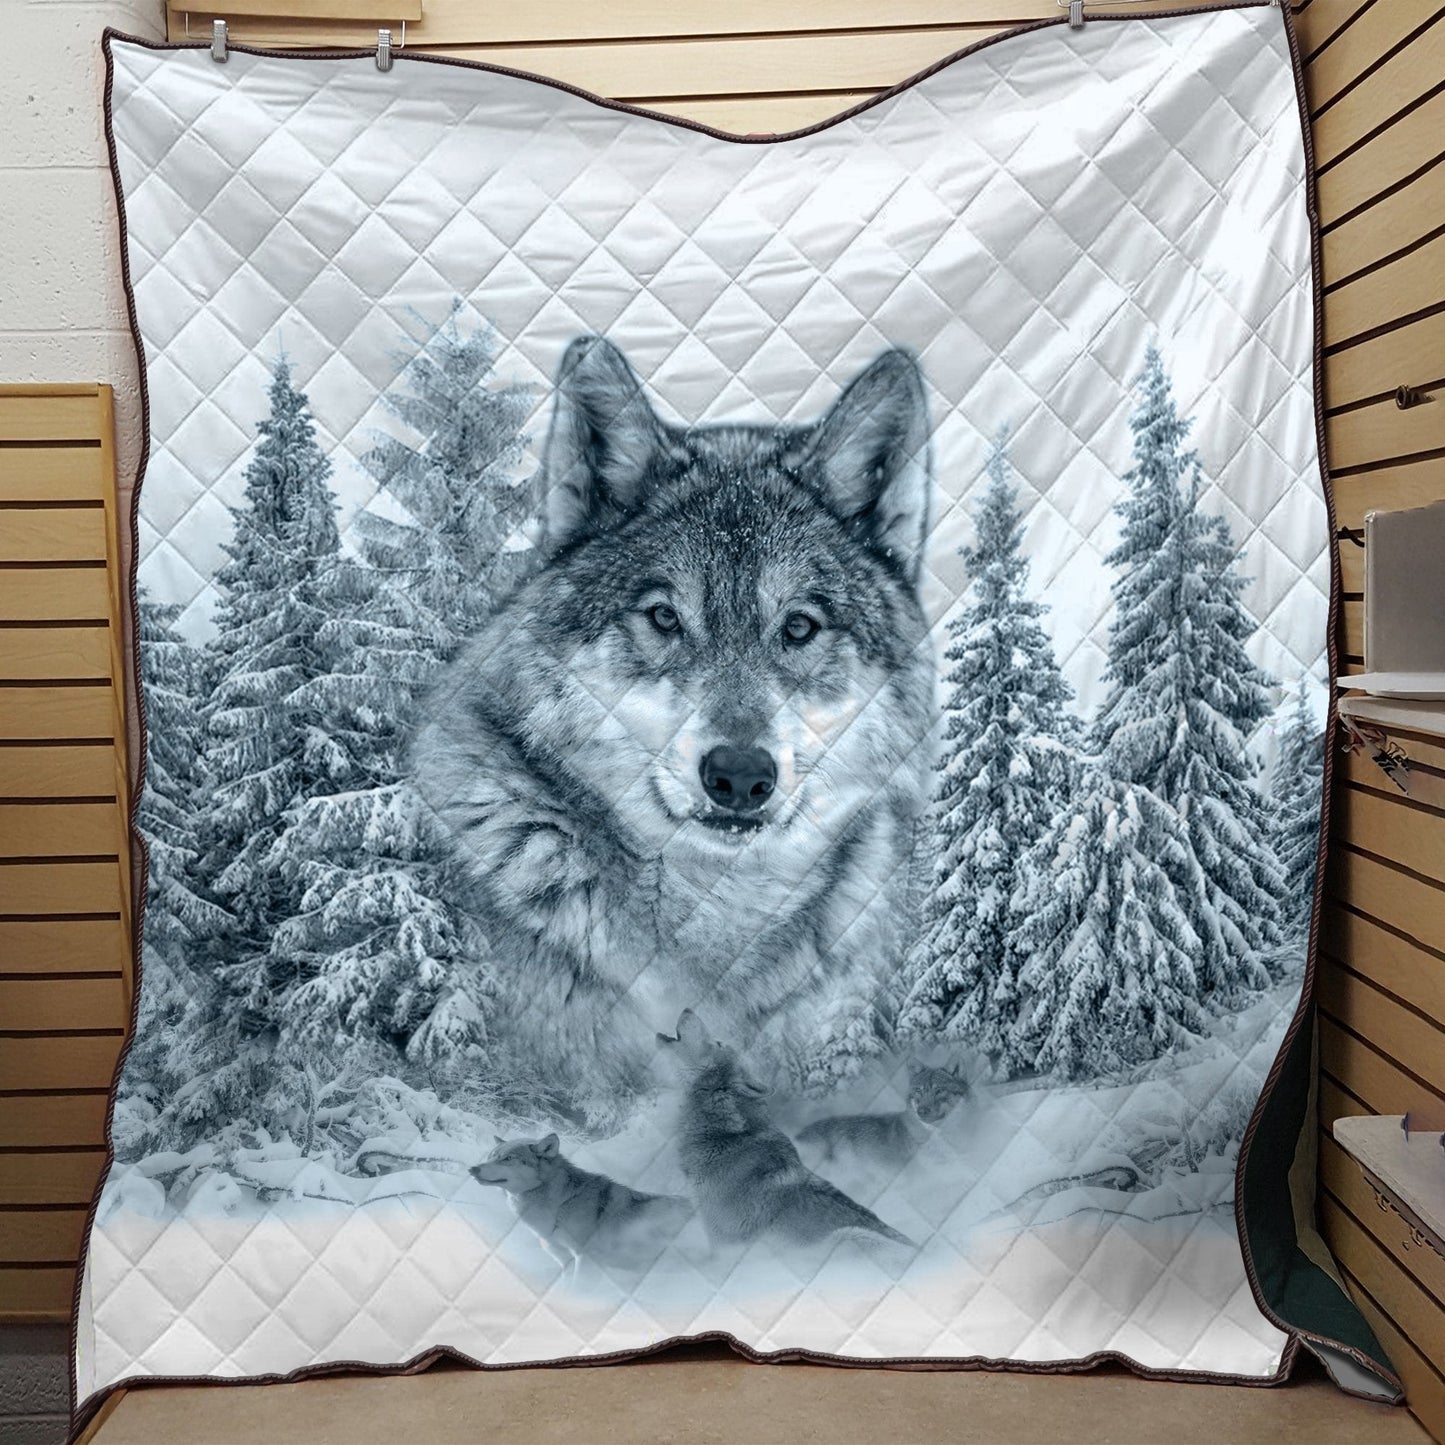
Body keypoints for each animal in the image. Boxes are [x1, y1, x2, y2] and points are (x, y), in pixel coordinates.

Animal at [470, 1133, 692, 1273]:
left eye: (508, 1158)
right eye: (491, 1156)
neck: (560, 1204)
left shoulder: (585, 1258)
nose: (472, 1169)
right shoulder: (564, 1260)